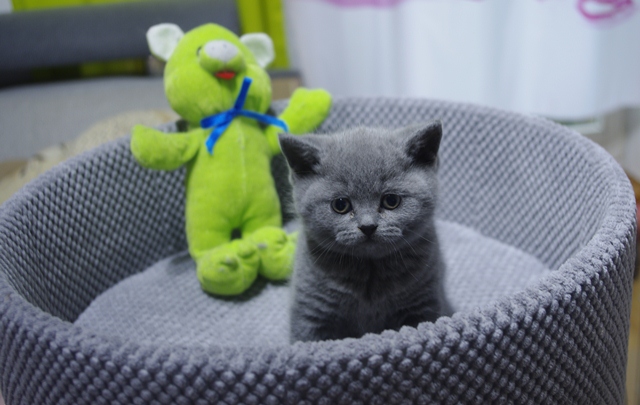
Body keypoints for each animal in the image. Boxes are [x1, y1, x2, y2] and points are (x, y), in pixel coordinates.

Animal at [279, 120, 453, 343]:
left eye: (391, 201)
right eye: (340, 205)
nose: (368, 226)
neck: (370, 274)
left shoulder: (424, 305)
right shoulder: (310, 311)